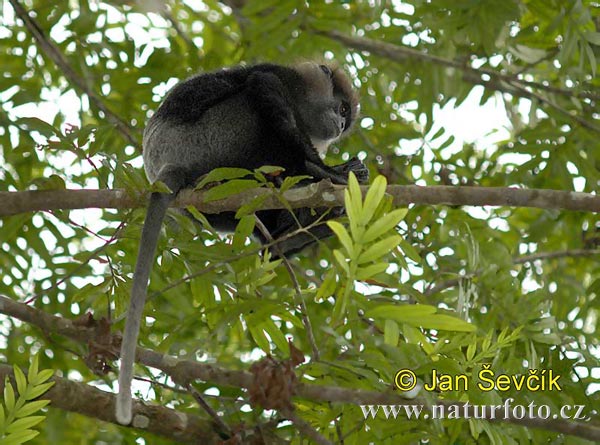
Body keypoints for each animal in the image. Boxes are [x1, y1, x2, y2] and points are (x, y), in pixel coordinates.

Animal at [116, 60, 370, 422]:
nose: (339, 126)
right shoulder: (281, 79)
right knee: (260, 103)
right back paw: (319, 175)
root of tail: (168, 166)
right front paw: (330, 169)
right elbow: (263, 83)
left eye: (346, 119)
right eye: (343, 109)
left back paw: (294, 231)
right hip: (217, 138)